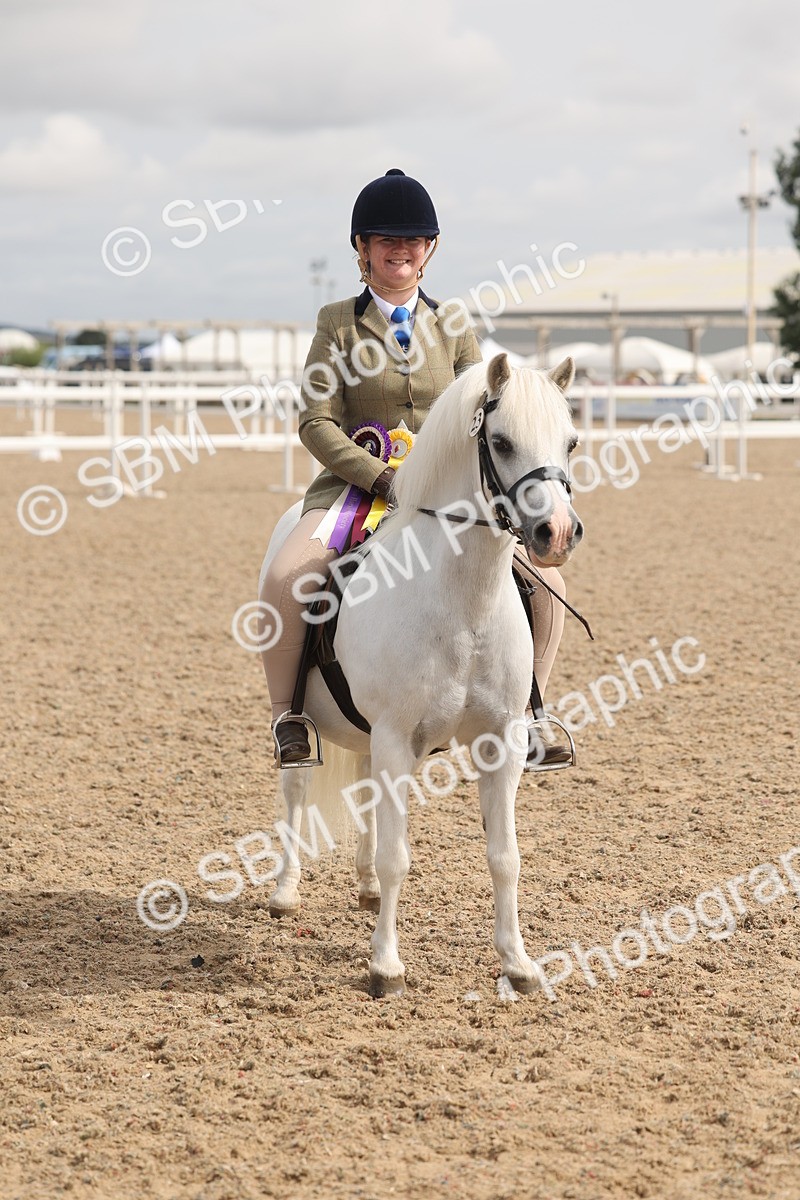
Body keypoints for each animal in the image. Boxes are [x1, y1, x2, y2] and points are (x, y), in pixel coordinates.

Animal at [257, 353, 583, 997]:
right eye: (501, 442)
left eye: (571, 442)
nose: (556, 534)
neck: (461, 602)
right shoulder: (396, 737)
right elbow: (397, 856)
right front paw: (385, 967)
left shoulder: (500, 741)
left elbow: (504, 856)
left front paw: (518, 964)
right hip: (315, 727)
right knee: (297, 788)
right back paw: (286, 890)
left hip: (370, 738)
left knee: (362, 792)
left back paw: (363, 888)